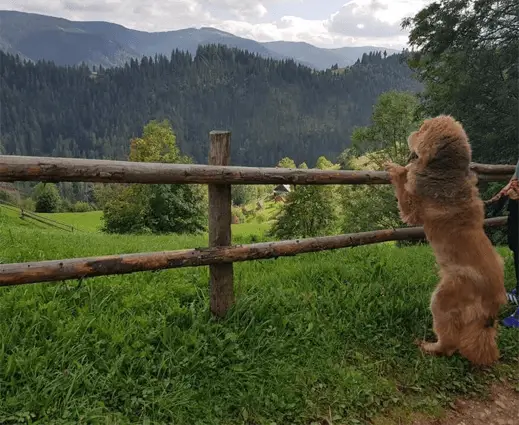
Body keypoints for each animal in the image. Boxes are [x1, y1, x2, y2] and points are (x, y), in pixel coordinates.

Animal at [386, 114, 508, 366]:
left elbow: (404, 189)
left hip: (443, 298)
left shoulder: (413, 209)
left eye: (422, 129)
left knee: (449, 342)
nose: (413, 131)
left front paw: (398, 170)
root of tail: (494, 300)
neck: (447, 172)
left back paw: (430, 347)